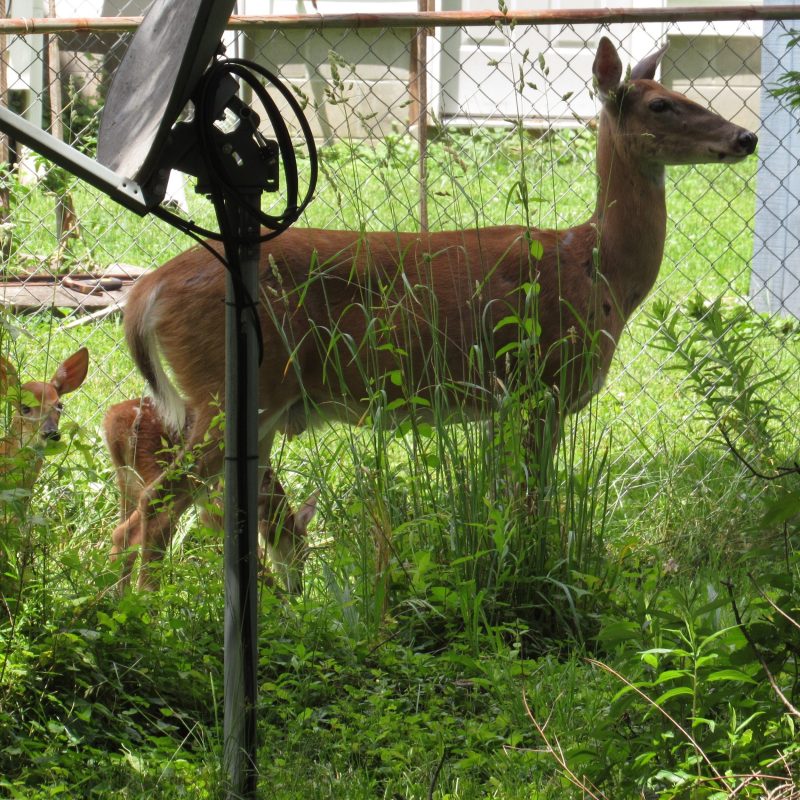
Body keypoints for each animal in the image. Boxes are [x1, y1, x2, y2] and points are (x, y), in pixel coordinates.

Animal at [102, 396, 317, 588]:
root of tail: (114, 419)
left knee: (121, 534)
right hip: (162, 472)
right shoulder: (221, 503)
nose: (298, 590)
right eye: (302, 550)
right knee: (144, 530)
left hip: (126, 479)